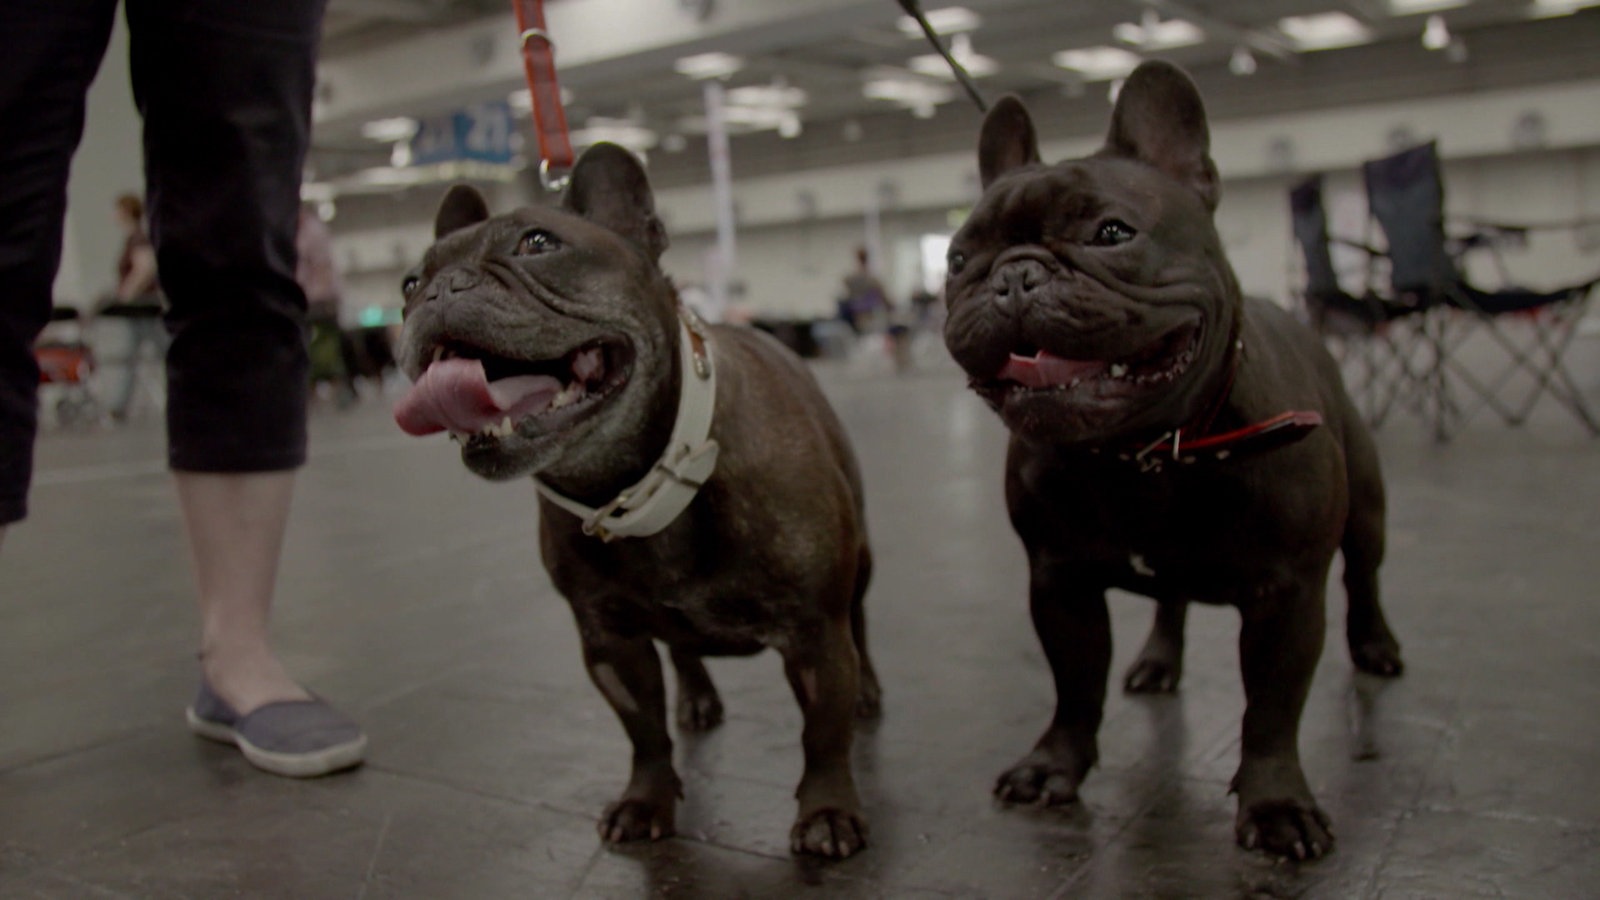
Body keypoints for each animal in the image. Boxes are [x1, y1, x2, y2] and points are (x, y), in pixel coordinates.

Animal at [395, 141, 883, 851]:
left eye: (538, 243)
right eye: (408, 284)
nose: (438, 289)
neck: (647, 479)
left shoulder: (816, 634)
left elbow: (823, 730)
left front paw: (825, 812)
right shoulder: (610, 642)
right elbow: (643, 729)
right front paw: (645, 800)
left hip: (860, 570)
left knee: (861, 626)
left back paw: (868, 690)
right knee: (681, 652)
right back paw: (696, 698)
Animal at [940, 59, 1408, 858]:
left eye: (1112, 233)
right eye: (958, 259)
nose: (1014, 275)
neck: (1147, 449)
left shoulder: (1288, 596)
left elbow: (1272, 707)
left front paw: (1276, 804)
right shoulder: (1059, 583)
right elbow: (1075, 684)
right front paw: (1054, 766)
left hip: (1369, 511)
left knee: (1365, 577)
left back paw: (1376, 646)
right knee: (1172, 604)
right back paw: (1158, 660)